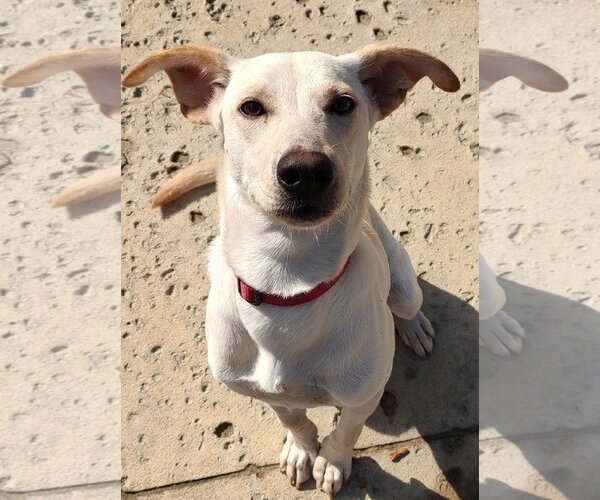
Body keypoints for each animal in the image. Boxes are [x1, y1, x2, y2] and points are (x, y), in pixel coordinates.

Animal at [122, 45, 460, 494]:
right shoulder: (263, 390)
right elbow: (293, 417)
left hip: (403, 284)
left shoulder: (363, 397)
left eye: (343, 104)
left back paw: (414, 327)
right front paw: (301, 449)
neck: (287, 283)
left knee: (407, 303)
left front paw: (332, 462)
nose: (306, 171)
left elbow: (346, 432)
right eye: (251, 107)